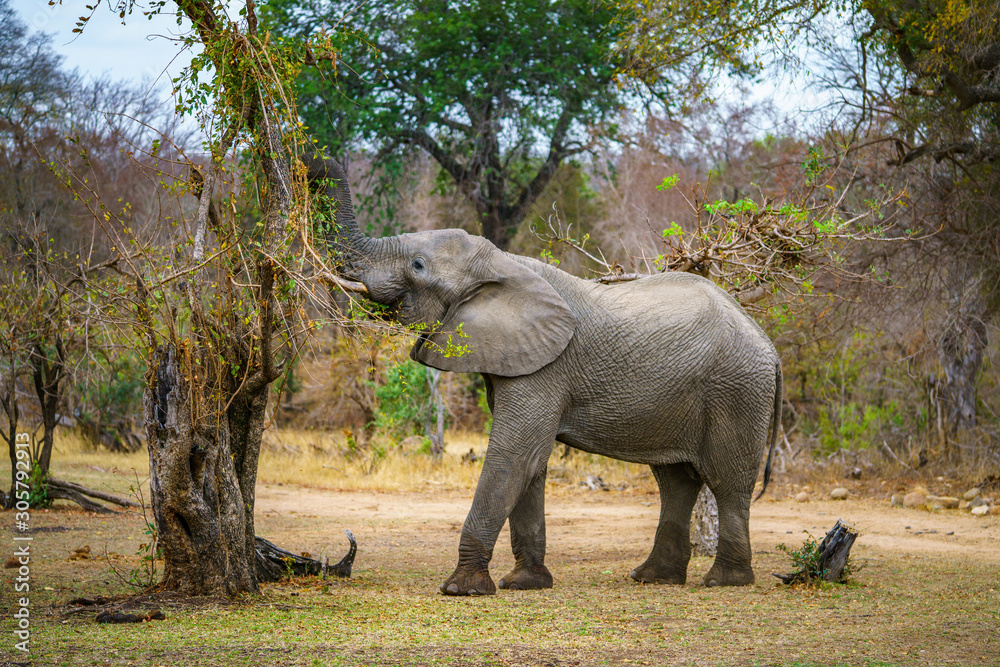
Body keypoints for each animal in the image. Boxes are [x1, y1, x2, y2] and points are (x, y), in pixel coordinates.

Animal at [307, 153, 782, 595]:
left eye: (418, 265)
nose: (315, 161)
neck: (501, 263)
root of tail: (769, 345)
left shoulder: (547, 368)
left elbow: (514, 455)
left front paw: (462, 589)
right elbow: (531, 463)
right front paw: (525, 583)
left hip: (737, 388)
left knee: (727, 481)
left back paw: (724, 581)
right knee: (675, 480)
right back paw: (653, 577)